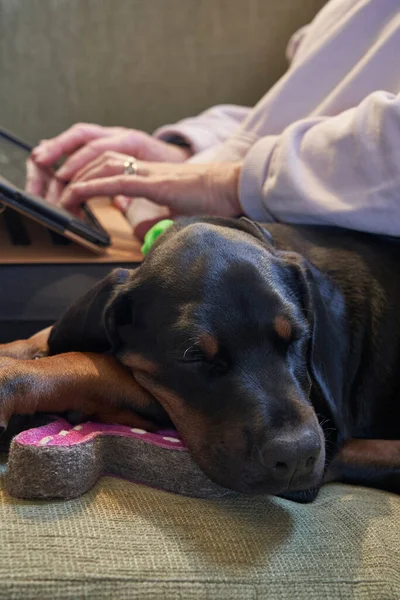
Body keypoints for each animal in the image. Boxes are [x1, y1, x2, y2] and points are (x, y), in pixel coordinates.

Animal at [0, 217, 400, 502]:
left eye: (299, 337)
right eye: (193, 356)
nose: (297, 456)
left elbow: (95, 364)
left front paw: (15, 375)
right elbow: (48, 336)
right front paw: (18, 347)